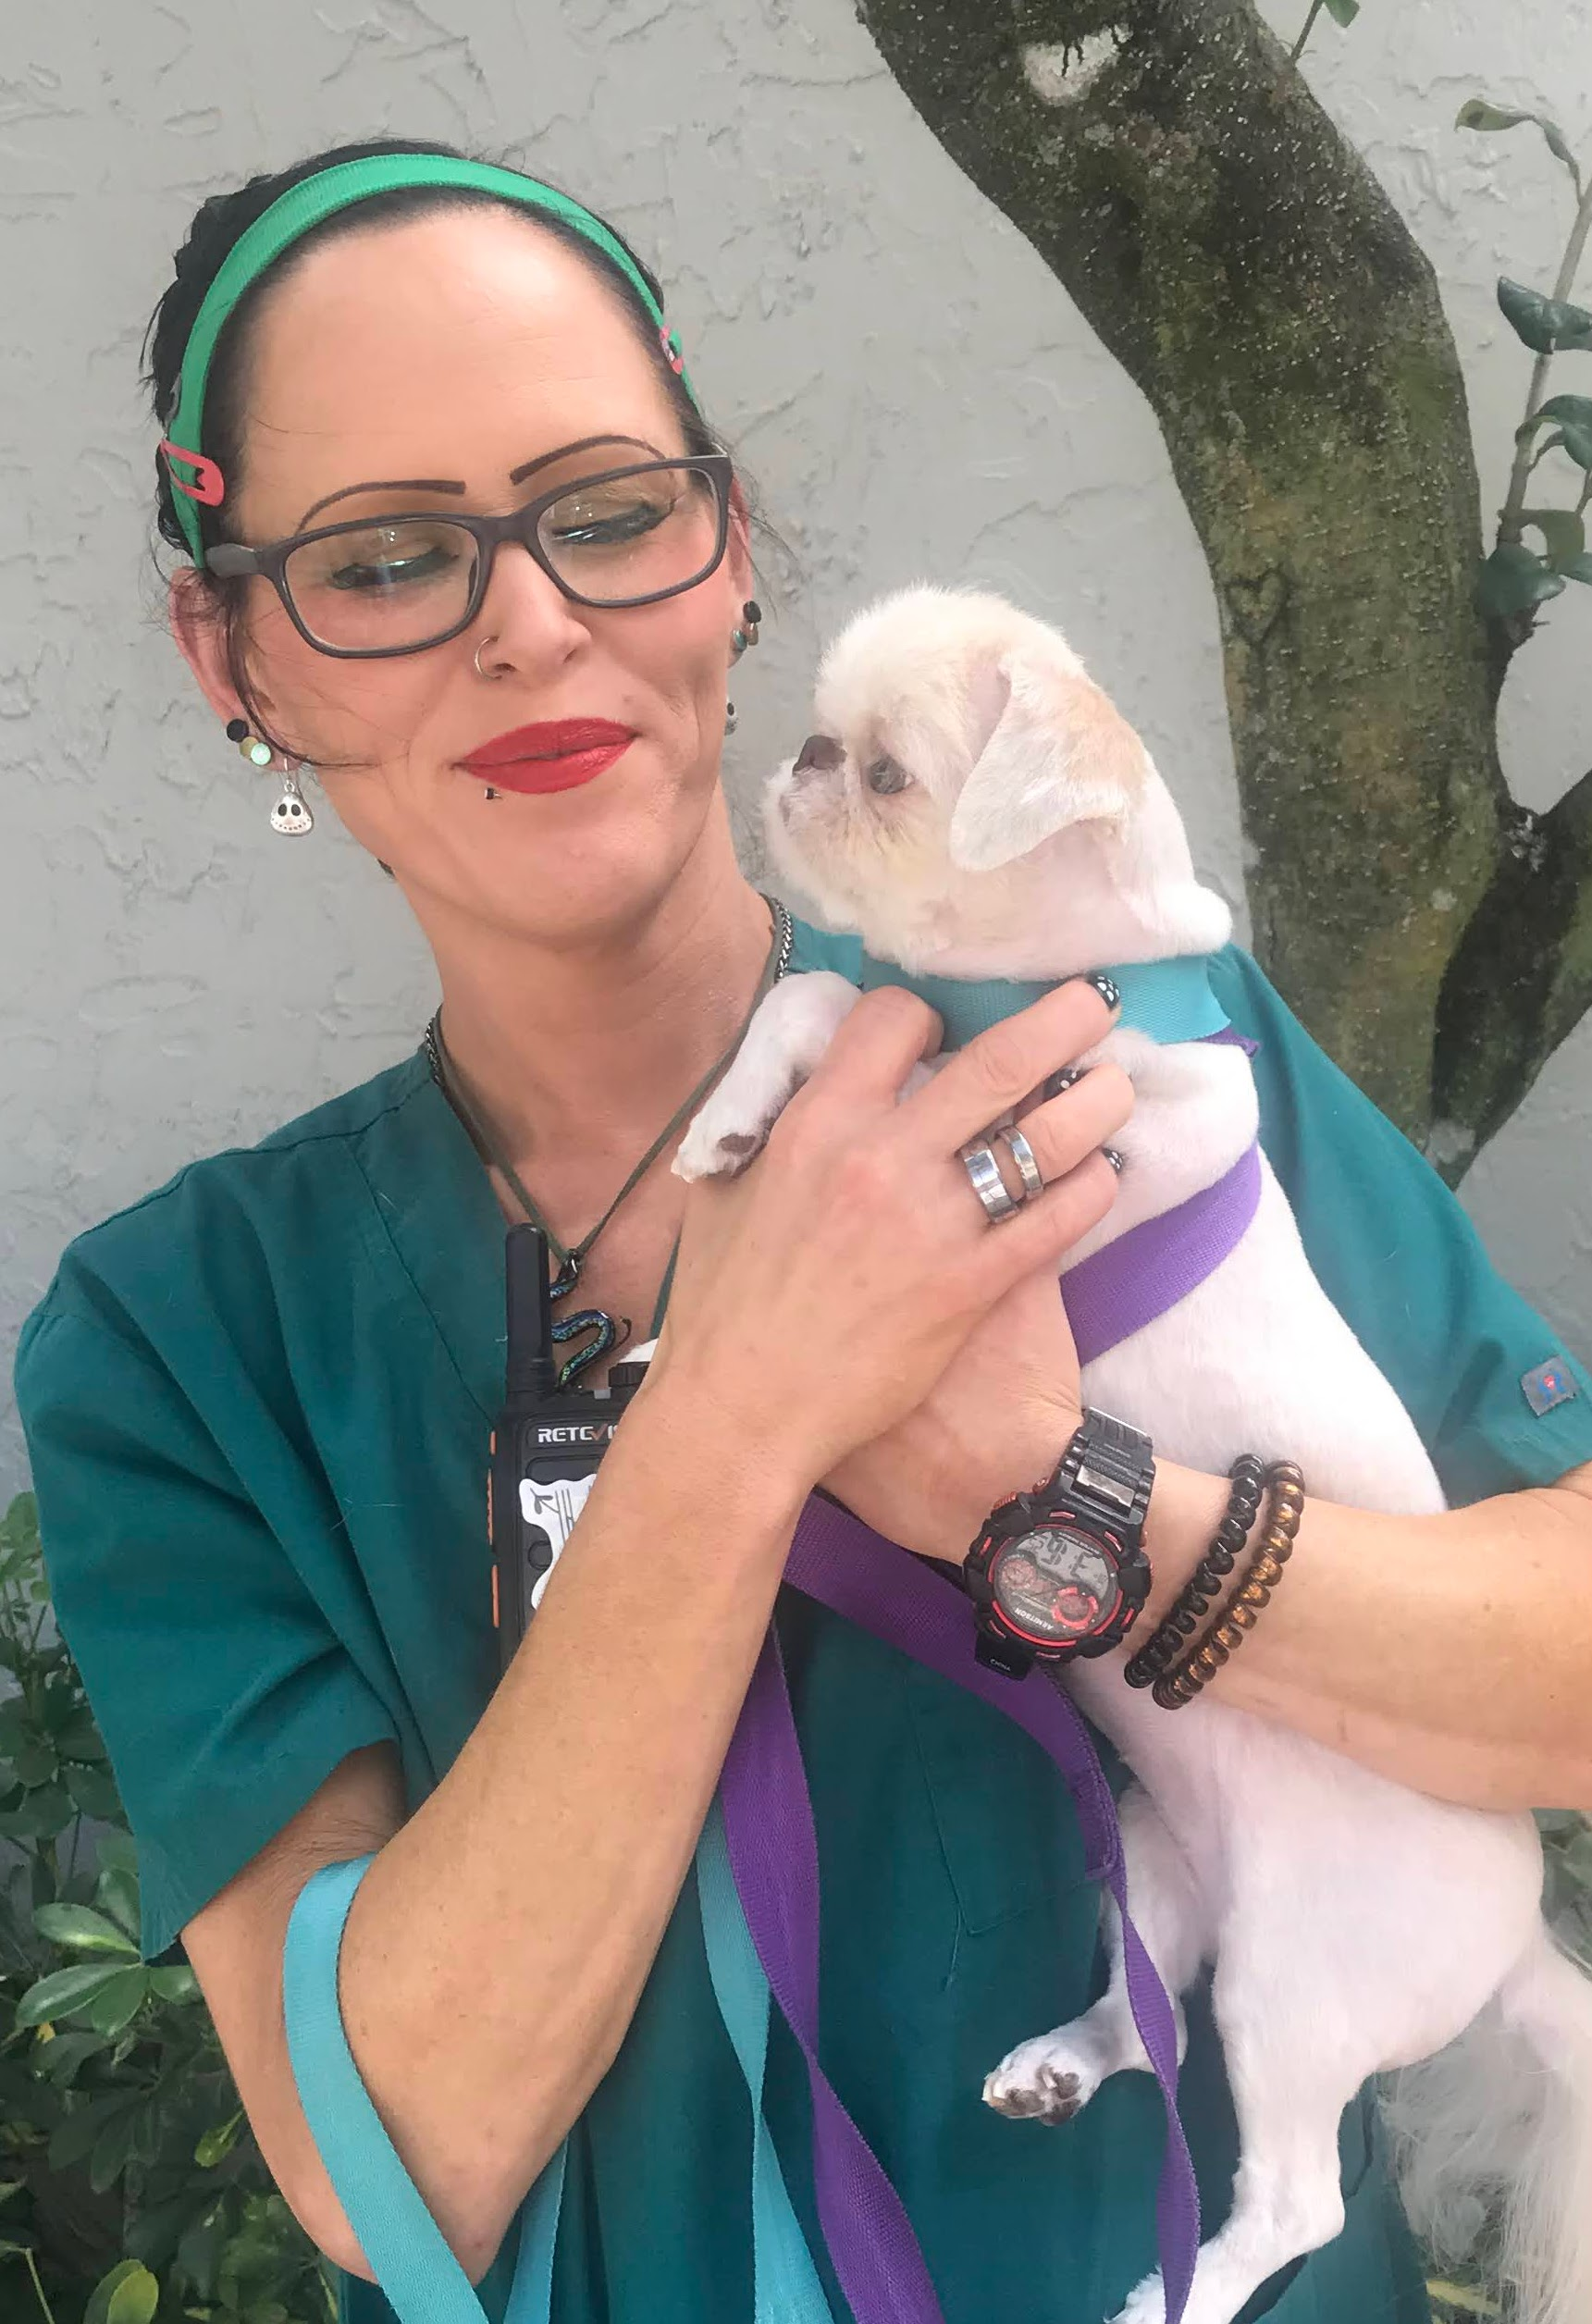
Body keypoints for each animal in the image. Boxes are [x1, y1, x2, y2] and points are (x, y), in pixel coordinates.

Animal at [673, 586, 1589, 2324]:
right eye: (830, 740)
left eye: (885, 773)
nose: (795, 762)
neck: (1059, 987)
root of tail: (1515, 1947)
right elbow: (827, 1004)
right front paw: (733, 1116)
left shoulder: (1088, 1137)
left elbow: (916, 1062)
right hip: (1157, 1877)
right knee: (1150, 2023)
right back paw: (1057, 2063)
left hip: (1297, 1988)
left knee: (1290, 2196)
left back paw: (1177, 2292)